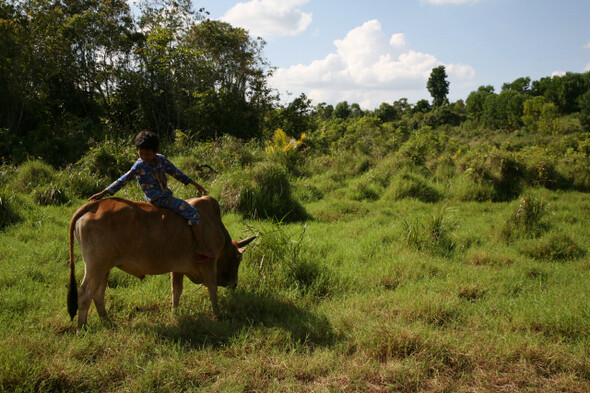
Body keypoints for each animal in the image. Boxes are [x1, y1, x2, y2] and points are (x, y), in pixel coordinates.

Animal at [67, 196, 256, 328]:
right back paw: (82, 328)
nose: (234, 284)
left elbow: (176, 291)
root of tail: (94, 205)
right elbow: (212, 288)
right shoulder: (210, 264)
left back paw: (107, 321)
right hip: (96, 266)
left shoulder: (178, 267)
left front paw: (175, 313)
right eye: (238, 258)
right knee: (85, 294)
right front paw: (217, 314)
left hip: (105, 268)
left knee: (98, 294)